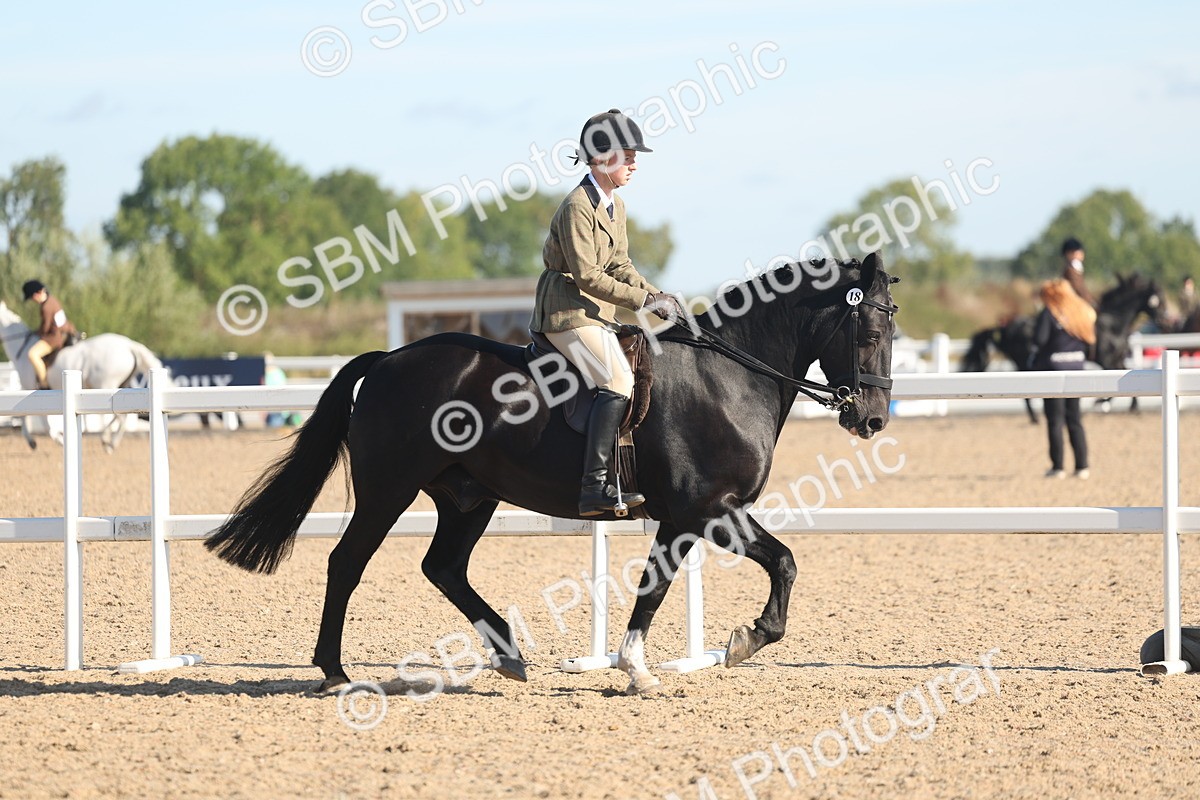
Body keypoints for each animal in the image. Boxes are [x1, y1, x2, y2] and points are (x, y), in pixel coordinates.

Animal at [0, 300, 163, 452]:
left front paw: (49, 440)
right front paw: (35, 441)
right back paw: (111, 443)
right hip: (120, 386)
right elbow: (23, 416)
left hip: (105, 386)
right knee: (122, 416)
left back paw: (106, 440)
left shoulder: (31, 388)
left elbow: (37, 421)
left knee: (118, 415)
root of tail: (129, 345)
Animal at [205, 253, 899, 695]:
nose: (871, 418)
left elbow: (664, 585)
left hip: (469, 497)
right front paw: (735, 644)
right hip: (389, 490)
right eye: (868, 330)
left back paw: (510, 658)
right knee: (347, 563)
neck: (729, 376)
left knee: (443, 567)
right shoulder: (706, 509)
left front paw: (643, 667)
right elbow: (775, 564)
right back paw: (334, 673)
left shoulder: (684, 518)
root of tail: (389, 360)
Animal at [960, 274, 1167, 422]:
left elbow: (1128, 377)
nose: (1165, 319)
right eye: (1159, 299)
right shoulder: (1106, 361)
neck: (1113, 324)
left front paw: (1132, 407)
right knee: (1024, 394)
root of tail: (1007, 325)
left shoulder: (1116, 359)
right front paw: (1099, 402)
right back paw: (1035, 419)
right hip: (1022, 362)